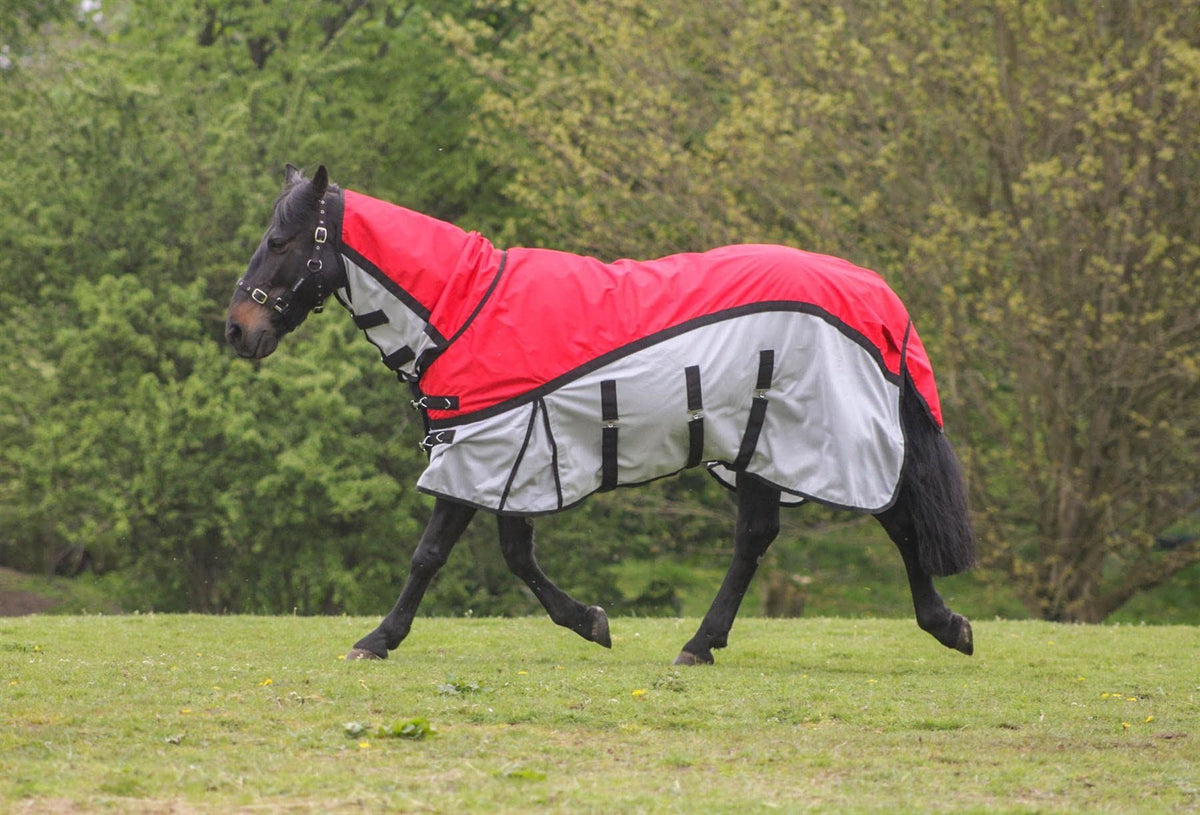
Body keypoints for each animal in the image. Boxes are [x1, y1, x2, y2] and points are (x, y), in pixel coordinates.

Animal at [226, 165, 976, 665]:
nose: (237, 329)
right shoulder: (515, 456)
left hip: (816, 440)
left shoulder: (483, 449)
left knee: (895, 520)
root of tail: (874, 294)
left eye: (282, 240)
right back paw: (705, 643)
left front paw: (378, 638)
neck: (463, 306)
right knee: (763, 537)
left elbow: (430, 555)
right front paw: (588, 619)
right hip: (758, 447)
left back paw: (942, 624)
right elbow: (516, 555)